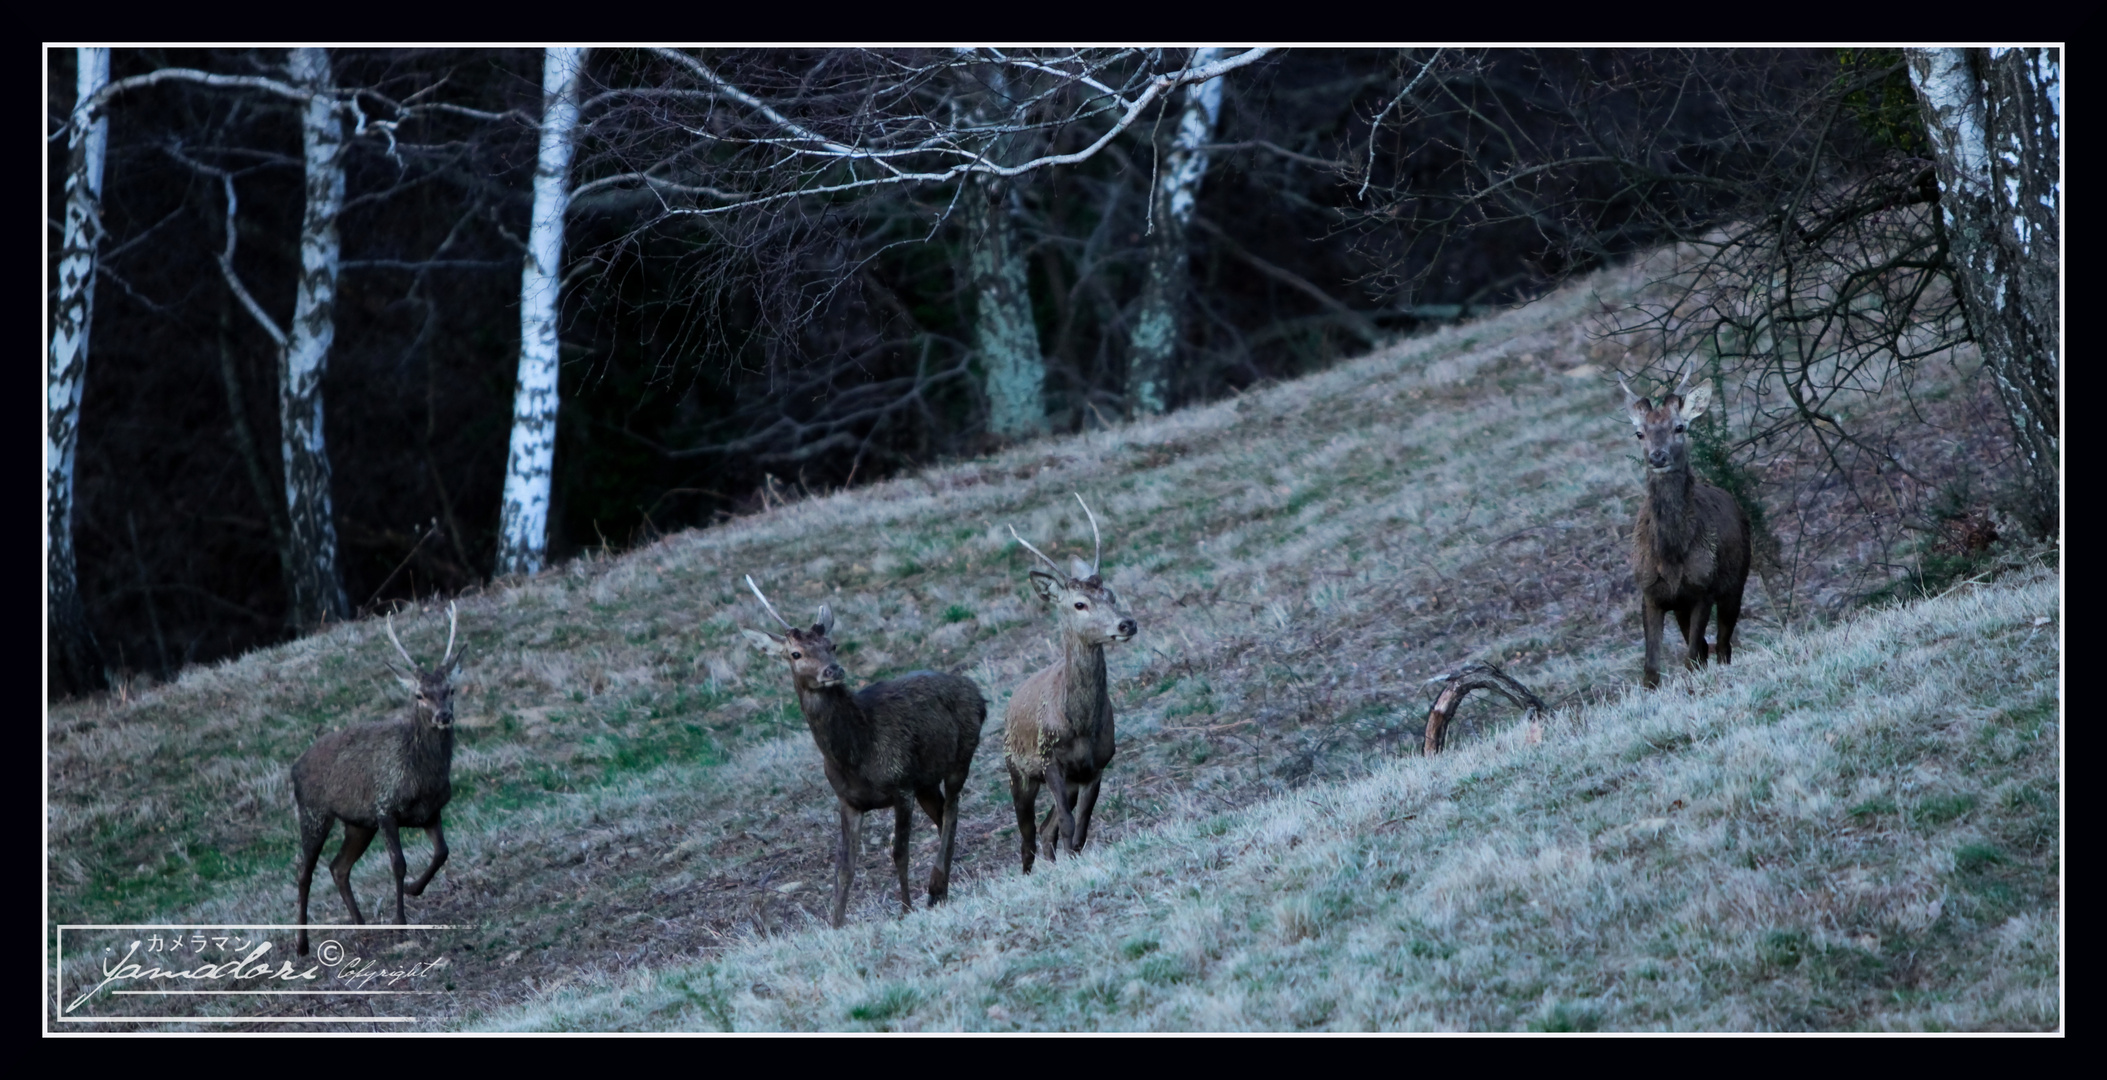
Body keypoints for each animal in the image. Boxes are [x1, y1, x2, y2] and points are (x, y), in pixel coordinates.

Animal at [288, 602, 461, 955]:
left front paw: (413, 890)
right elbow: (398, 863)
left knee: (338, 867)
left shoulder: (430, 811)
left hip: (358, 823)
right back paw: (301, 944)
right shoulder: (385, 808)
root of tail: (293, 767)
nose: (443, 716)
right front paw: (401, 923)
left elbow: (442, 852)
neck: (421, 775)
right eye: (420, 695)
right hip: (313, 813)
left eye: (450, 689)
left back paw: (361, 924)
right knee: (303, 870)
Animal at [741, 576, 986, 922]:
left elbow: (899, 852)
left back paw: (936, 885)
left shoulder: (900, 783)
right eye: (796, 654)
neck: (856, 755)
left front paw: (905, 910)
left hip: (961, 755)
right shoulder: (849, 801)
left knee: (952, 811)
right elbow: (844, 868)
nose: (832, 670)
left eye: (831, 645)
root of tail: (979, 695)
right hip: (926, 781)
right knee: (942, 817)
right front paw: (835, 924)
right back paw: (941, 889)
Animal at [1002, 492, 1137, 871]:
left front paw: (1074, 862)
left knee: (1044, 829)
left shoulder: (1096, 766)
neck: (1077, 726)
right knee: (1027, 836)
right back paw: (1030, 873)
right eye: (1079, 604)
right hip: (1016, 768)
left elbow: (1080, 829)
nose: (1127, 623)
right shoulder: (1050, 761)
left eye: (1111, 595)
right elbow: (1066, 822)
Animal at [1618, 370, 1753, 690]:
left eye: (1679, 427)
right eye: (1639, 433)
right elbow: (1651, 670)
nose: (1657, 457)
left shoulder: (1703, 588)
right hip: (1681, 606)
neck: (1670, 556)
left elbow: (1691, 657)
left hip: (1736, 582)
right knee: (1707, 647)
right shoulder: (1651, 593)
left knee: (1722, 645)